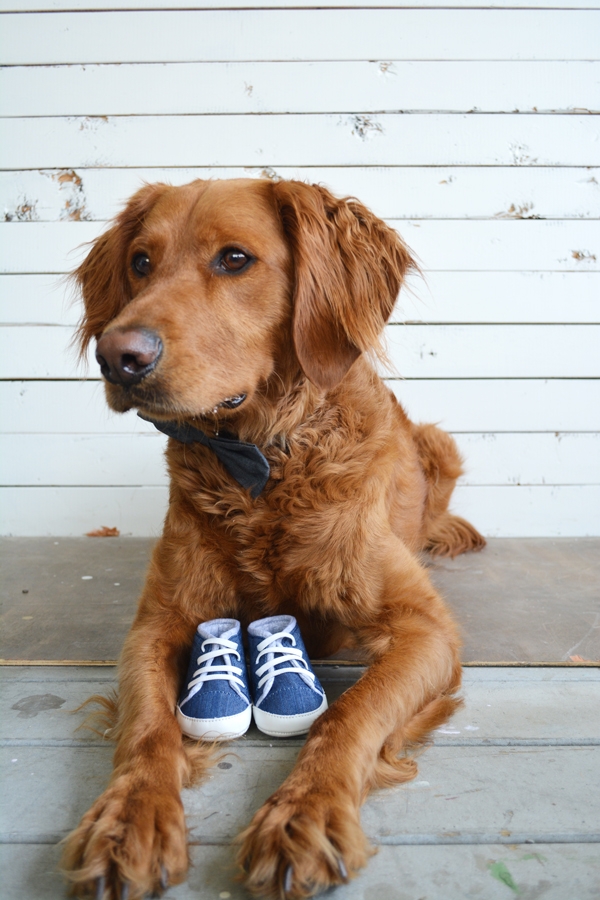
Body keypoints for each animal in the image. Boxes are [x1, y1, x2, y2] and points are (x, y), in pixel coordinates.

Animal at [62, 179, 482, 896]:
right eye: (141, 263)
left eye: (235, 259)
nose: (118, 358)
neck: (261, 465)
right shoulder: (156, 622)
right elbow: (147, 727)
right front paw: (127, 818)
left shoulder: (425, 627)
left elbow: (349, 714)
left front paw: (303, 814)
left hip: (440, 443)